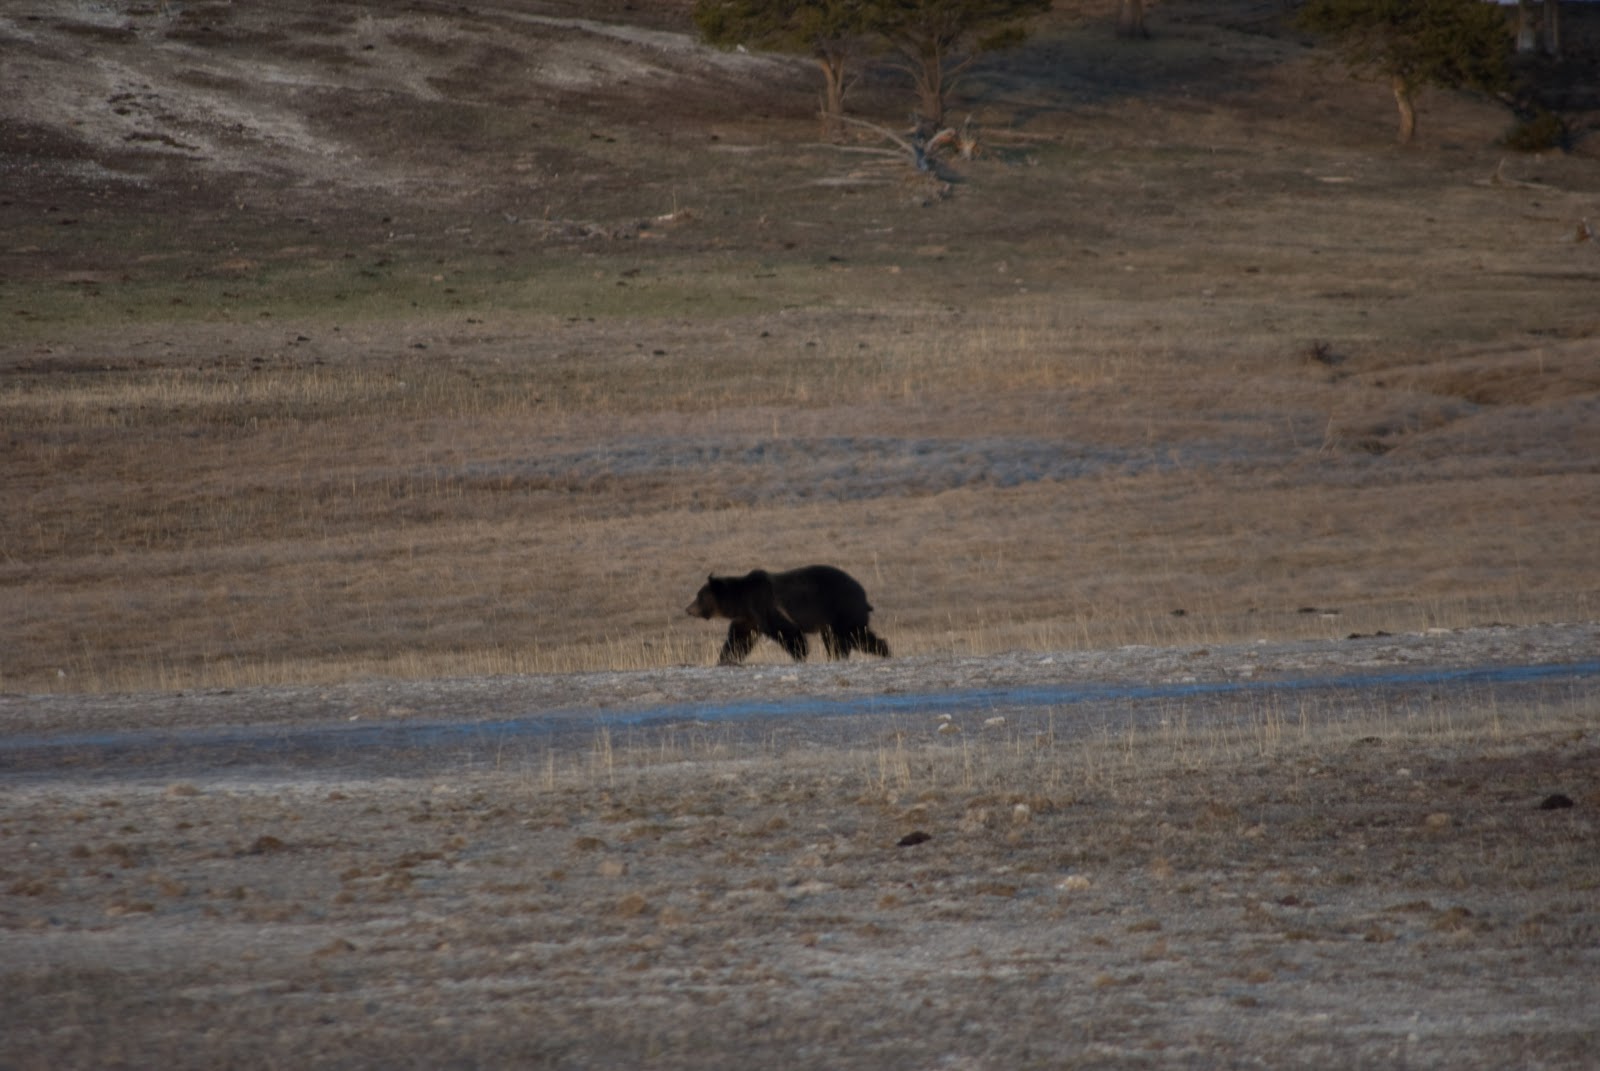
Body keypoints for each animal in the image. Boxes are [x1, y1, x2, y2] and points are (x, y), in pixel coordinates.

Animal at [684, 563, 896, 662]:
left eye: (699, 596)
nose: (688, 609)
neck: (741, 600)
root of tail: (863, 595)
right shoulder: (748, 618)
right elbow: (738, 639)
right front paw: (726, 659)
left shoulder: (766, 605)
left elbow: (786, 632)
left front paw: (800, 654)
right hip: (832, 621)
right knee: (840, 639)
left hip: (841, 609)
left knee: (854, 635)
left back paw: (884, 650)